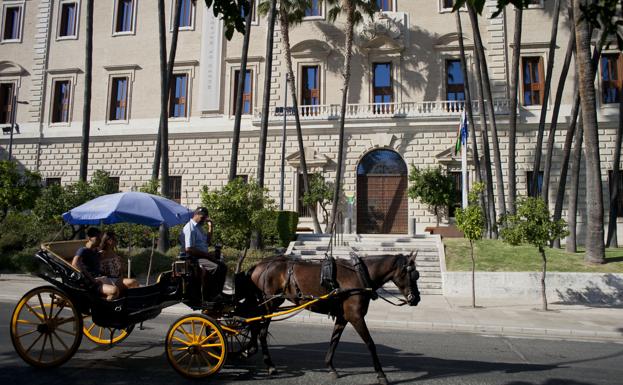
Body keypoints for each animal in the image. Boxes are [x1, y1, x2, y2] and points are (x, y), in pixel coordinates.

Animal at [244, 252, 420, 384]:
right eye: (411, 274)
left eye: (417, 275)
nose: (416, 299)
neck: (359, 275)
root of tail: (260, 265)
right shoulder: (356, 317)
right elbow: (370, 343)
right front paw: (381, 374)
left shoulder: (343, 317)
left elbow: (334, 340)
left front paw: (330, 366)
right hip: (269, 303)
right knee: (261, 332)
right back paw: (269, 365)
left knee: (255, 326)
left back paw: (250, 350)